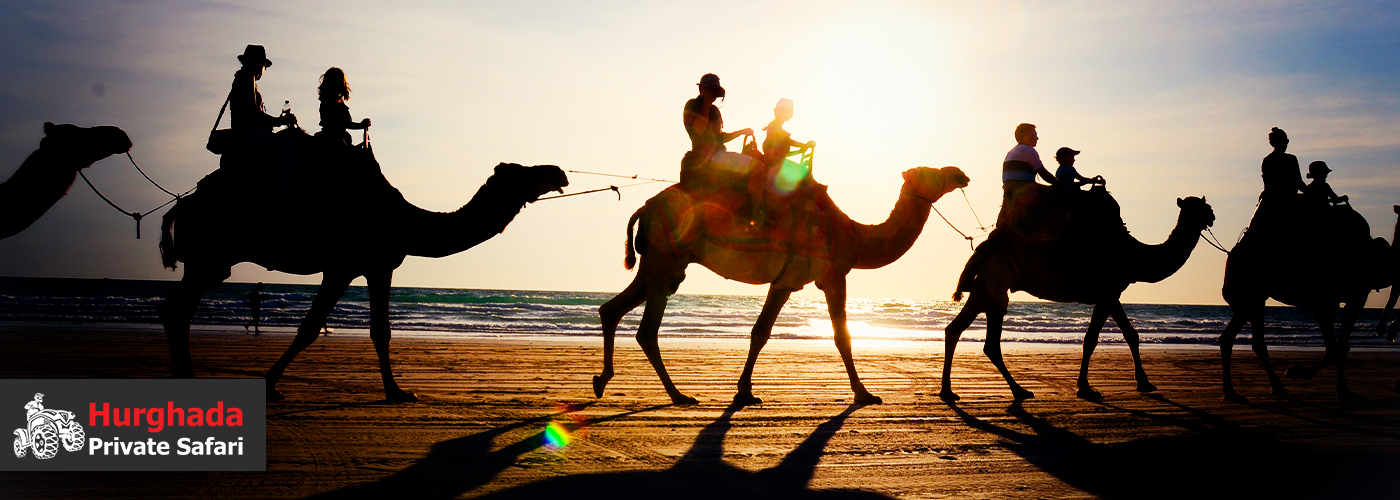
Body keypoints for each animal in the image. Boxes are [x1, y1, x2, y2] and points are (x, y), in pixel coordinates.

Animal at [158, 140, 568, 401]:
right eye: (523, 172)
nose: (559, 171)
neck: (406, 222)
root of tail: (182, 204)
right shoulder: (342, 266)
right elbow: (310, 328)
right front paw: (271, 385)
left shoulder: (378, 266)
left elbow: (381, 331)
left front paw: (397, 392)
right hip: (210, 257)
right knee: (177, 307)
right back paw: (184, 376)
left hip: (209, 263)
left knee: (181, 307)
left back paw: (185, 376)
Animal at [594, 165, 970, 405]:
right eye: (931, 172)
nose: (960, 173)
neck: (854, 235)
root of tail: (646, 207)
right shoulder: (829, 276)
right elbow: (840, 336)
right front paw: (864, 394)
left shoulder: (787, 281)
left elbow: (761, 332)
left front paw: (744, 391)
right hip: (666, 260)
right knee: (646, 330)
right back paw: (678, 395)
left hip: (658, 264)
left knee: (611, 308)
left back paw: (602, 381)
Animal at [940, 189, 1215, 401]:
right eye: (1197, 207)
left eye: (1205, 205)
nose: (1212, 216)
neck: (1133, 254)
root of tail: (985, 246)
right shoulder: (1107, 292)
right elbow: (1092, 339)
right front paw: (1086, 388)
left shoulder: (1111, 294)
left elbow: (1130, 335)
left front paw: (1144, 383)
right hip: (992, 284)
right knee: (975, 336)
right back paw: (974, 391)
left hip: (989, 288)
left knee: (971, 335)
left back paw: (995, 391)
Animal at [1219, 201, 1392, 401]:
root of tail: (1233, 251)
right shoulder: (1331, 299)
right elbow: (1335, 348)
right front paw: (1298, 373)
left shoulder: (1346, 298)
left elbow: (1339, 346)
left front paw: (1341, 389)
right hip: (1251, 291)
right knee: (1239, 338)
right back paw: (1240, 390)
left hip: (1254, 295)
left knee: (1245, 339)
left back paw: (1257, 389)